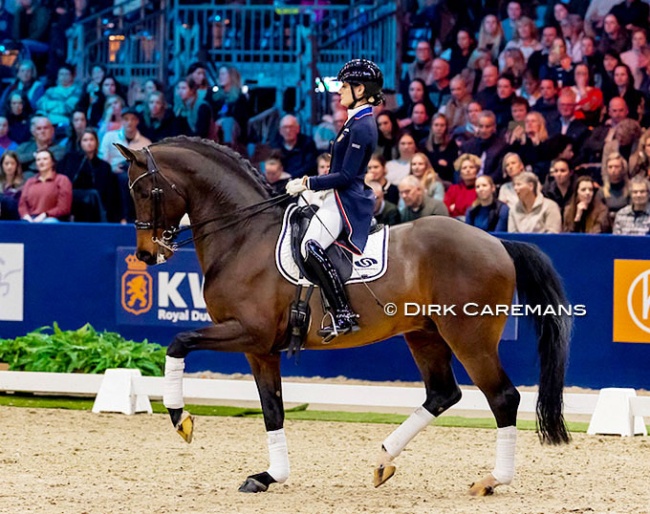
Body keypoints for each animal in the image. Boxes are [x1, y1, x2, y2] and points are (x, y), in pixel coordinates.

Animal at [115, 136, 571, 496]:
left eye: (146, 191)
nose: (146, 255)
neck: (244, 238)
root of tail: (497, 242)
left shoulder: (247, 333)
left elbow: (179, 343)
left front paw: (181, 420)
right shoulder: (261, 349)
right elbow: (272, 408)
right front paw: (270, 476)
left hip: (469, 337)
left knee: (503, 397)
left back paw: (492, 480)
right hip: (424, 334)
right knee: (443, 394)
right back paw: (384, 459)